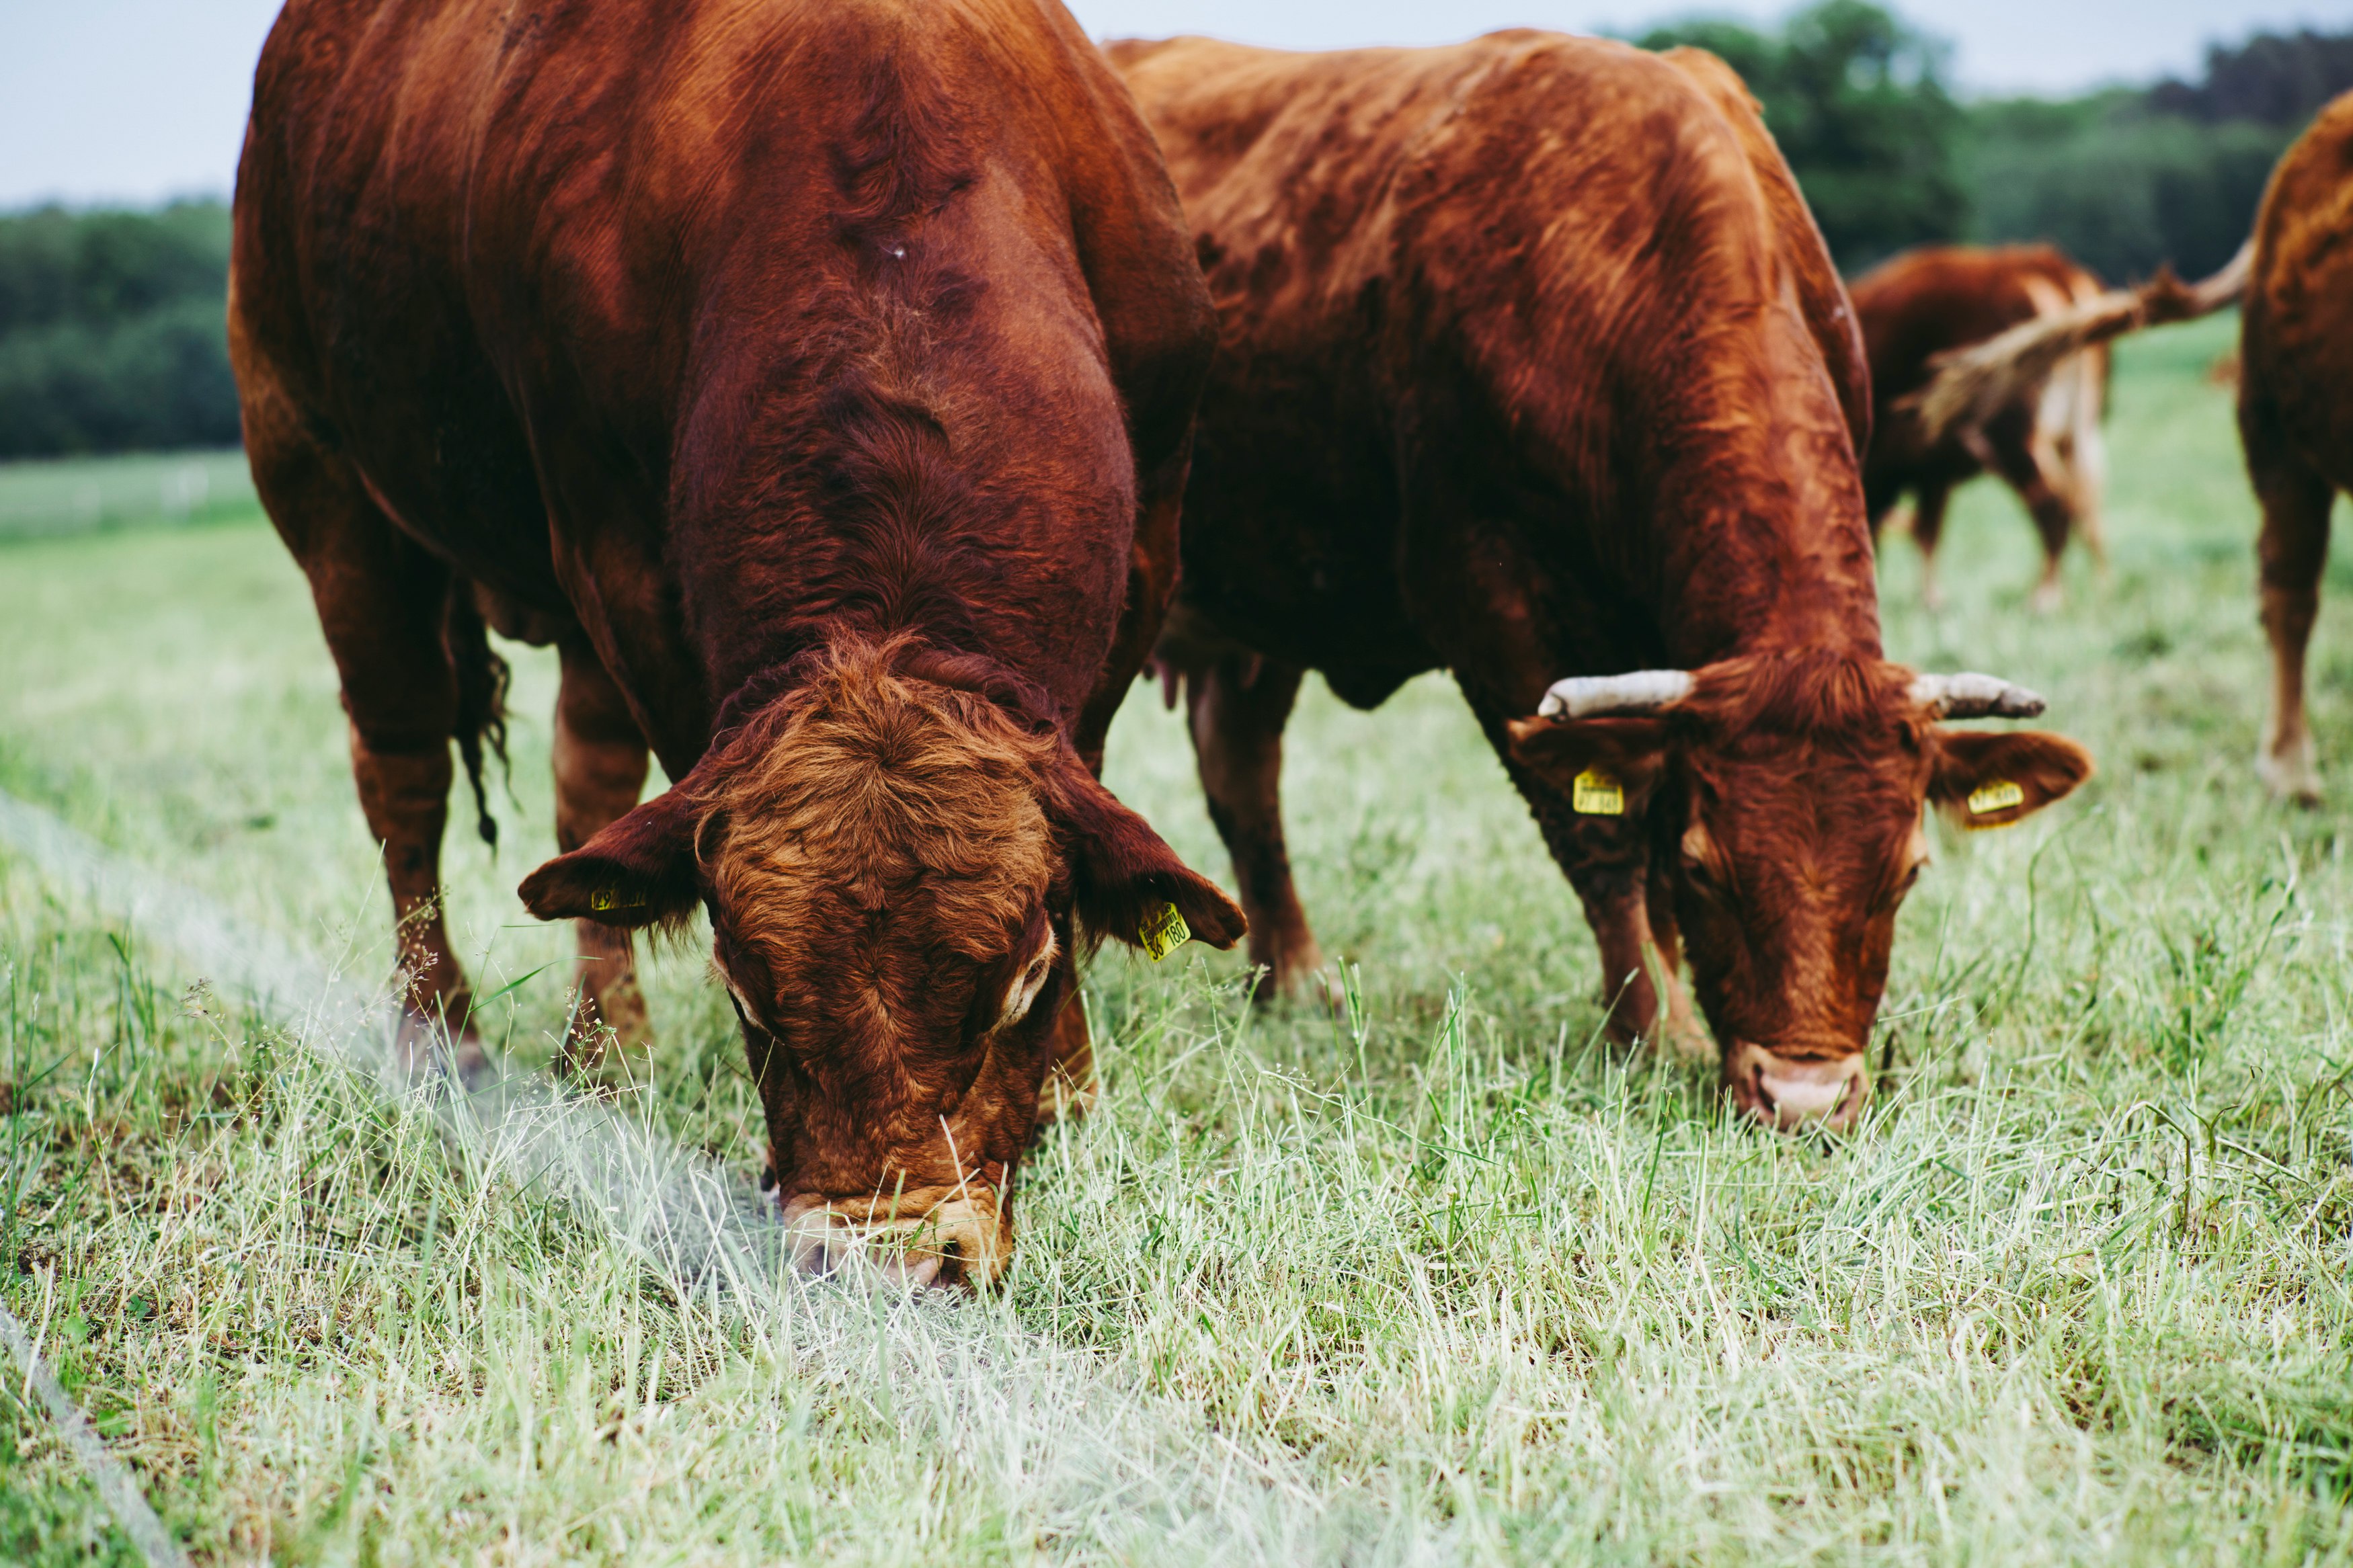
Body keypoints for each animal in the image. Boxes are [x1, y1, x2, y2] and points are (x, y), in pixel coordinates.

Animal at [229, 0, 1242, 1288]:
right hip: (323, 483)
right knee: (404, 773)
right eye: (746, 986)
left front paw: (1068, 1085)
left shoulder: (1152, 537)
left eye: (1021, 980)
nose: (887, 1262)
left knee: (582, 779)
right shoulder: (620, 560)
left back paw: (605, 1053)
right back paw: (444, 1042)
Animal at [1111, 28, 2089, 1128]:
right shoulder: (1491, 606)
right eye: (1710, 866)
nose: (1803, 1094)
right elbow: (1603, 837)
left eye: (1908, 871)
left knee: (1243, 769)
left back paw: (1295, 980)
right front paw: (1654, 1028)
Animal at [1854, 245, 2118, 611]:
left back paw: (2045, 597)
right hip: (2080, 433)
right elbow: (1928, 531)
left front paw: (1930, 600)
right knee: (2089, 508)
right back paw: (2100, 589)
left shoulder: (1927, 466)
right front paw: (1933, 599)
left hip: (2014, 439)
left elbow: (1926, 531)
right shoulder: (1933, 470)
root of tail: (2047, 264)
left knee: (2054, 506)